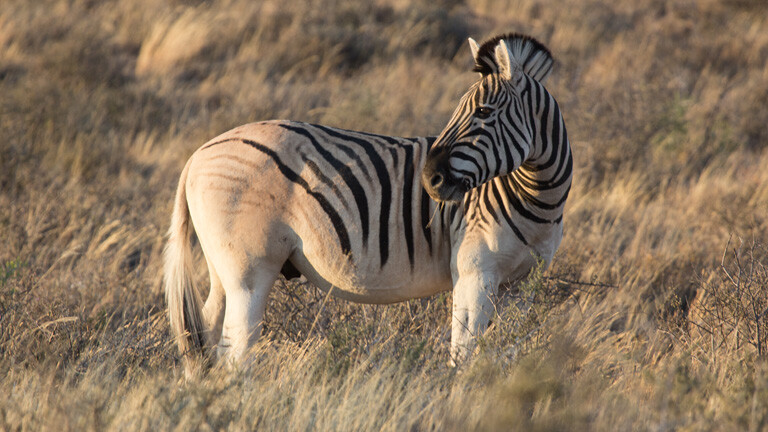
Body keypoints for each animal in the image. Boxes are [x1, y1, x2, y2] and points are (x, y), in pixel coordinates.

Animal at [164, 33, 572, 374]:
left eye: (484, 112)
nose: (429, 179)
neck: (539, 198)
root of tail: (196, 156)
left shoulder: (522, 284)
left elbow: (506, 349)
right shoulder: (473, 271)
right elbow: (465, 352)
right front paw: (460, 396)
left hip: (222, 270)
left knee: (202, 336)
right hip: (249, 272)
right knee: (234, 354)